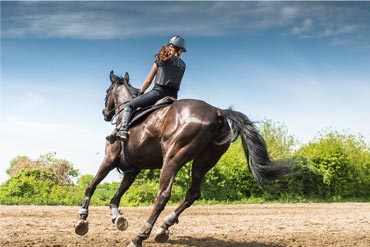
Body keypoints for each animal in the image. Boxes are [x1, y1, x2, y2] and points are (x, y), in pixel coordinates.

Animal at [74, 70, 294, 247]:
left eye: (106, 92)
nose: (105, 113)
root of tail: (217, 112)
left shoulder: (109, 160)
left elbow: (91, 186)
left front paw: (82, 221)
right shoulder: (133, 169)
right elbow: (116, 196)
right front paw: (117, 218)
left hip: (173, 158)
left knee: (163, 195)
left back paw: (140, 236)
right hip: (203, 162)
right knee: (193, 193)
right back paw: (164, 227)